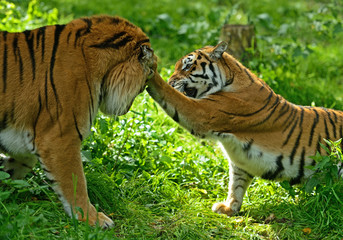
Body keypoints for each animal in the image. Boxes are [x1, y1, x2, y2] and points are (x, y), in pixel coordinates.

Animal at [0, 15, 155, 229]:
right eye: (150, 73)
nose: (129, 107)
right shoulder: (61, 138)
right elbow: (76, 183)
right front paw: (93, 219)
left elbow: (21, 163)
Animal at [148, 41, 343, 218]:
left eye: (188, 66)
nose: (171, 81)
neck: (230, 78)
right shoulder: (240, 158)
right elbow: (236, 184)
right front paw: (230, 208)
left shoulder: (202, 113)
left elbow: (170, 95)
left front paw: (150, 67)